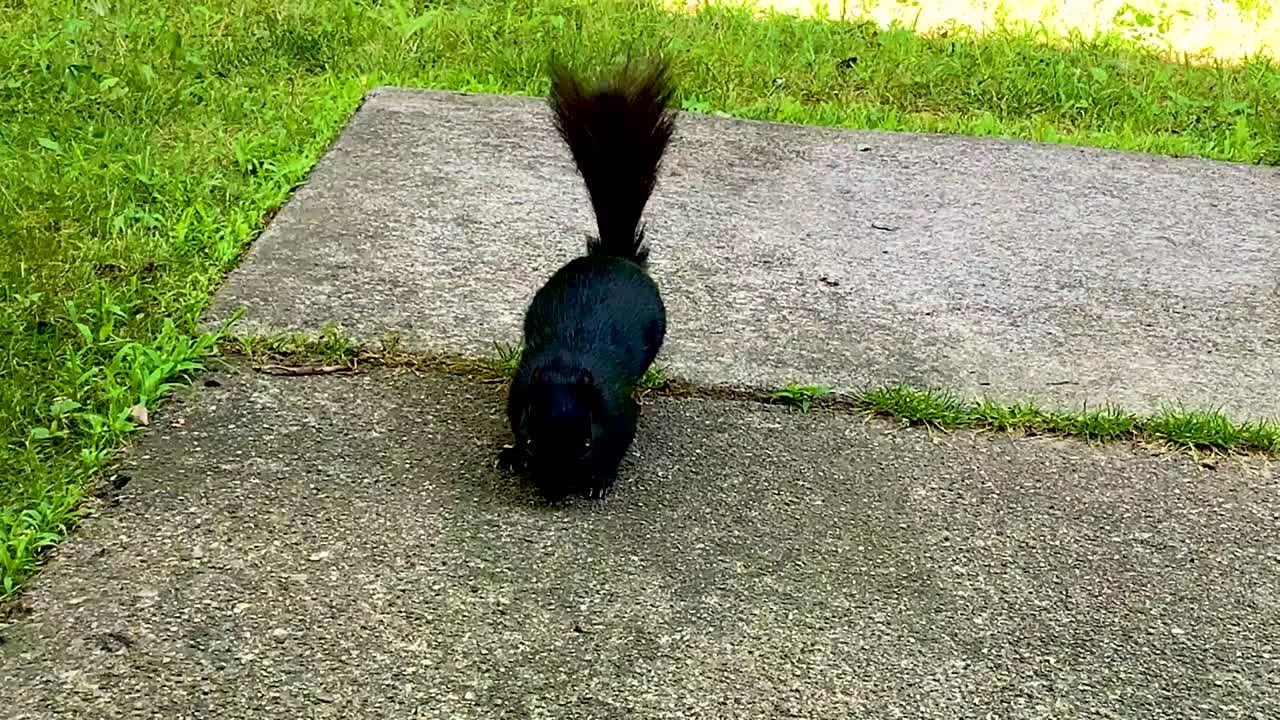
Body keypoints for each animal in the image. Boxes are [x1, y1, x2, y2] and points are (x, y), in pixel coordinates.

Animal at [497, 57, 677, 501]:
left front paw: (600, 479)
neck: (567, 363)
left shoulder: (619, 408)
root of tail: (613, 255)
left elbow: (621, 440)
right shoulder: (519, 392)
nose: (554, 492)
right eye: (532, 439)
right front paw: (512, 455)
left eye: (585, 443)